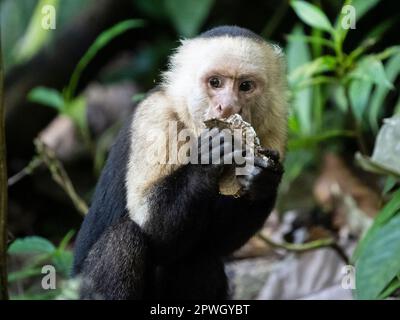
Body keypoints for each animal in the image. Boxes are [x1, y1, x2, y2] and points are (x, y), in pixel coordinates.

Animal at [72, 25, 288, 300]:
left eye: (245, 86)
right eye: (215, 82)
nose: (227, 106)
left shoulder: (275, 127)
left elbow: (217, 242)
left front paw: (262, 178)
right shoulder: (156, 116)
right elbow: (153, 229)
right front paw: (208, 157)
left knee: (198, 255)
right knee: (124, 240)